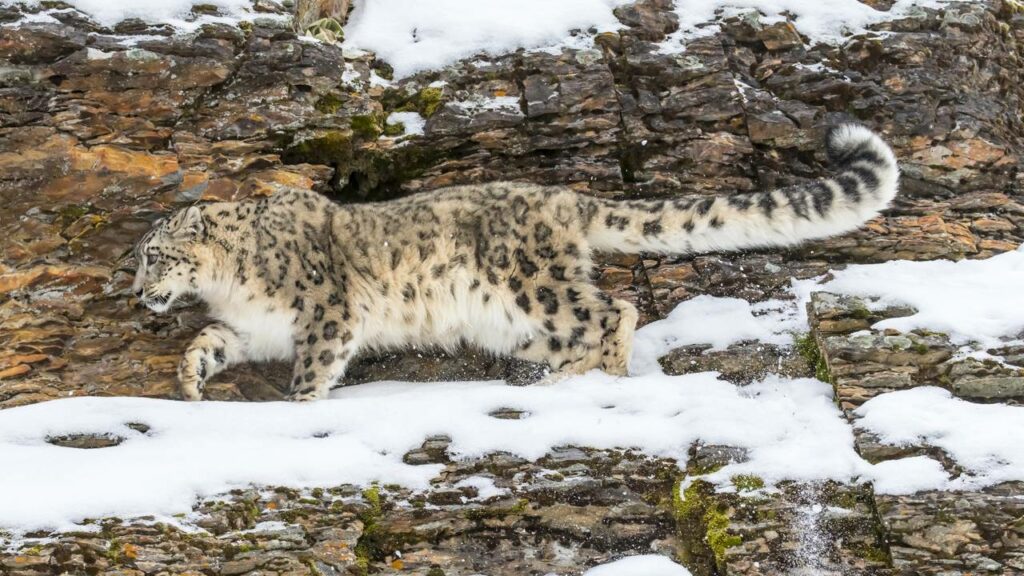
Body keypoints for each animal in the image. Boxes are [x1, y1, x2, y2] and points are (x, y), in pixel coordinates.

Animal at [132, 124, 899, 401]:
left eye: (154, 257)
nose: (138, 293)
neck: (233, 283)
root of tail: (563, 198)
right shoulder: (247, 327)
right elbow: (209, 341)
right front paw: (191, 384)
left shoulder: (324, 312)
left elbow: (314, 366)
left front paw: (300, 408)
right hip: (510, 318)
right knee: (582, 328)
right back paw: (558, 378)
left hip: (530, 284)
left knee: (613, 308)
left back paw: (594, 377)